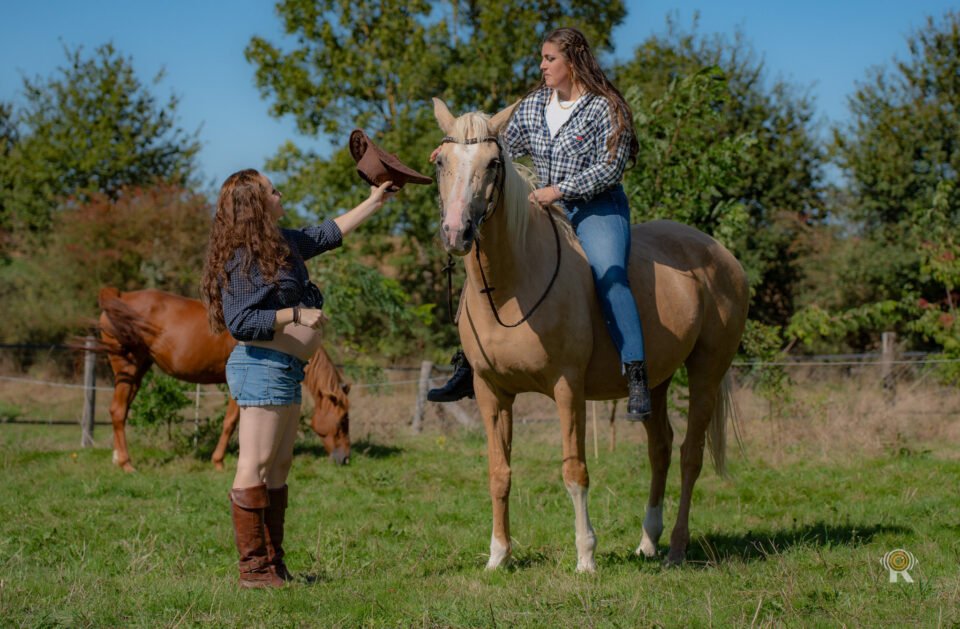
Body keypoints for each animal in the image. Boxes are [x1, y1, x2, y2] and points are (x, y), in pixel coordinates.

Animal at [95, 287, 351, 472]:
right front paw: (218, 461)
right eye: (342, 421)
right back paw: (126, 463)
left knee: (121, 412)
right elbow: (231, 422)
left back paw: (117, 458)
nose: (345, 459)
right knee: (118, 411)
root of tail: (119, 296)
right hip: (128, 368)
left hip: (136, 372)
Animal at [432, 98, 749, 569]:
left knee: (691, 456)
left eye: (493, 163)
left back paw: (676, 548)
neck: (512, 288)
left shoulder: (568, 389)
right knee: (661, 449)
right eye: (440, 161)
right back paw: (648, 541)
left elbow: (574, 471)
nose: (457, 232)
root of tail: (722, 255)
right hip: (655, 383)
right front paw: (498, 556)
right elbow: (499, 473)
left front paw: (586, 557)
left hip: (706, 371)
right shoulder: (491, 393)